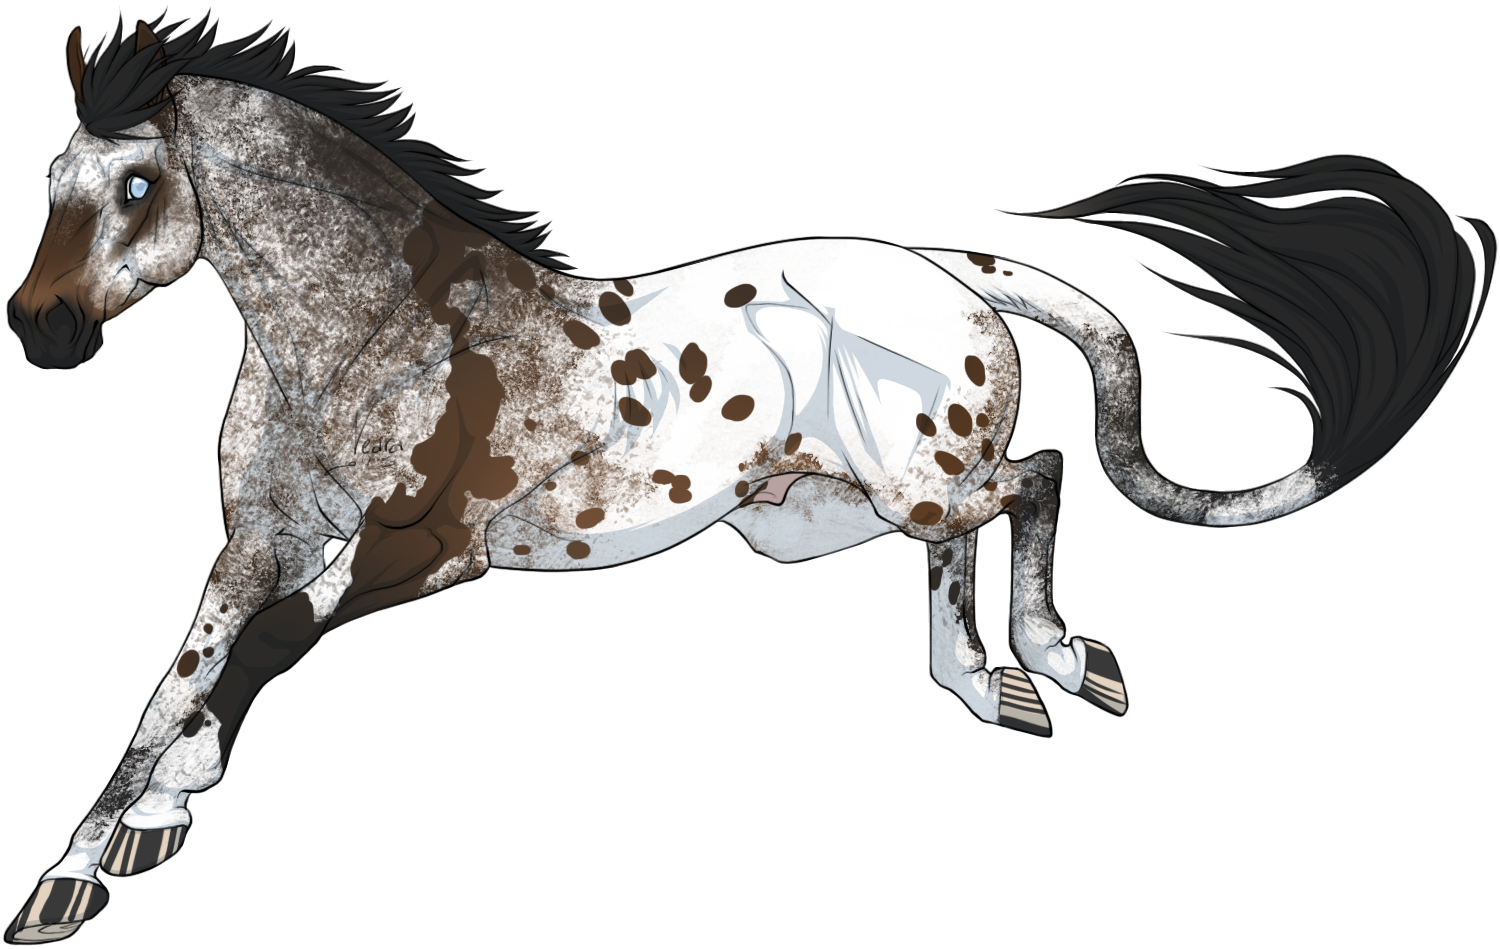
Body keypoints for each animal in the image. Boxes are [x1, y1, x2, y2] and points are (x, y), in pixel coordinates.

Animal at [5, 10, 1494, 945]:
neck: (365, 330)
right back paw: (997, 680)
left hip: (906, 483)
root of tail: (953, 264)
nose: (42, 334)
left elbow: (249, 664)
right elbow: (182, 676)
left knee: (1031, 487)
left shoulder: (411, 553)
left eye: (135, 186)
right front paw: (93, 854)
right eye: (52, 179)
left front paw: (93, 864)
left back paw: (1044, 669)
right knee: (1000, 510)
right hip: (832, 510)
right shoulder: (258, 540)